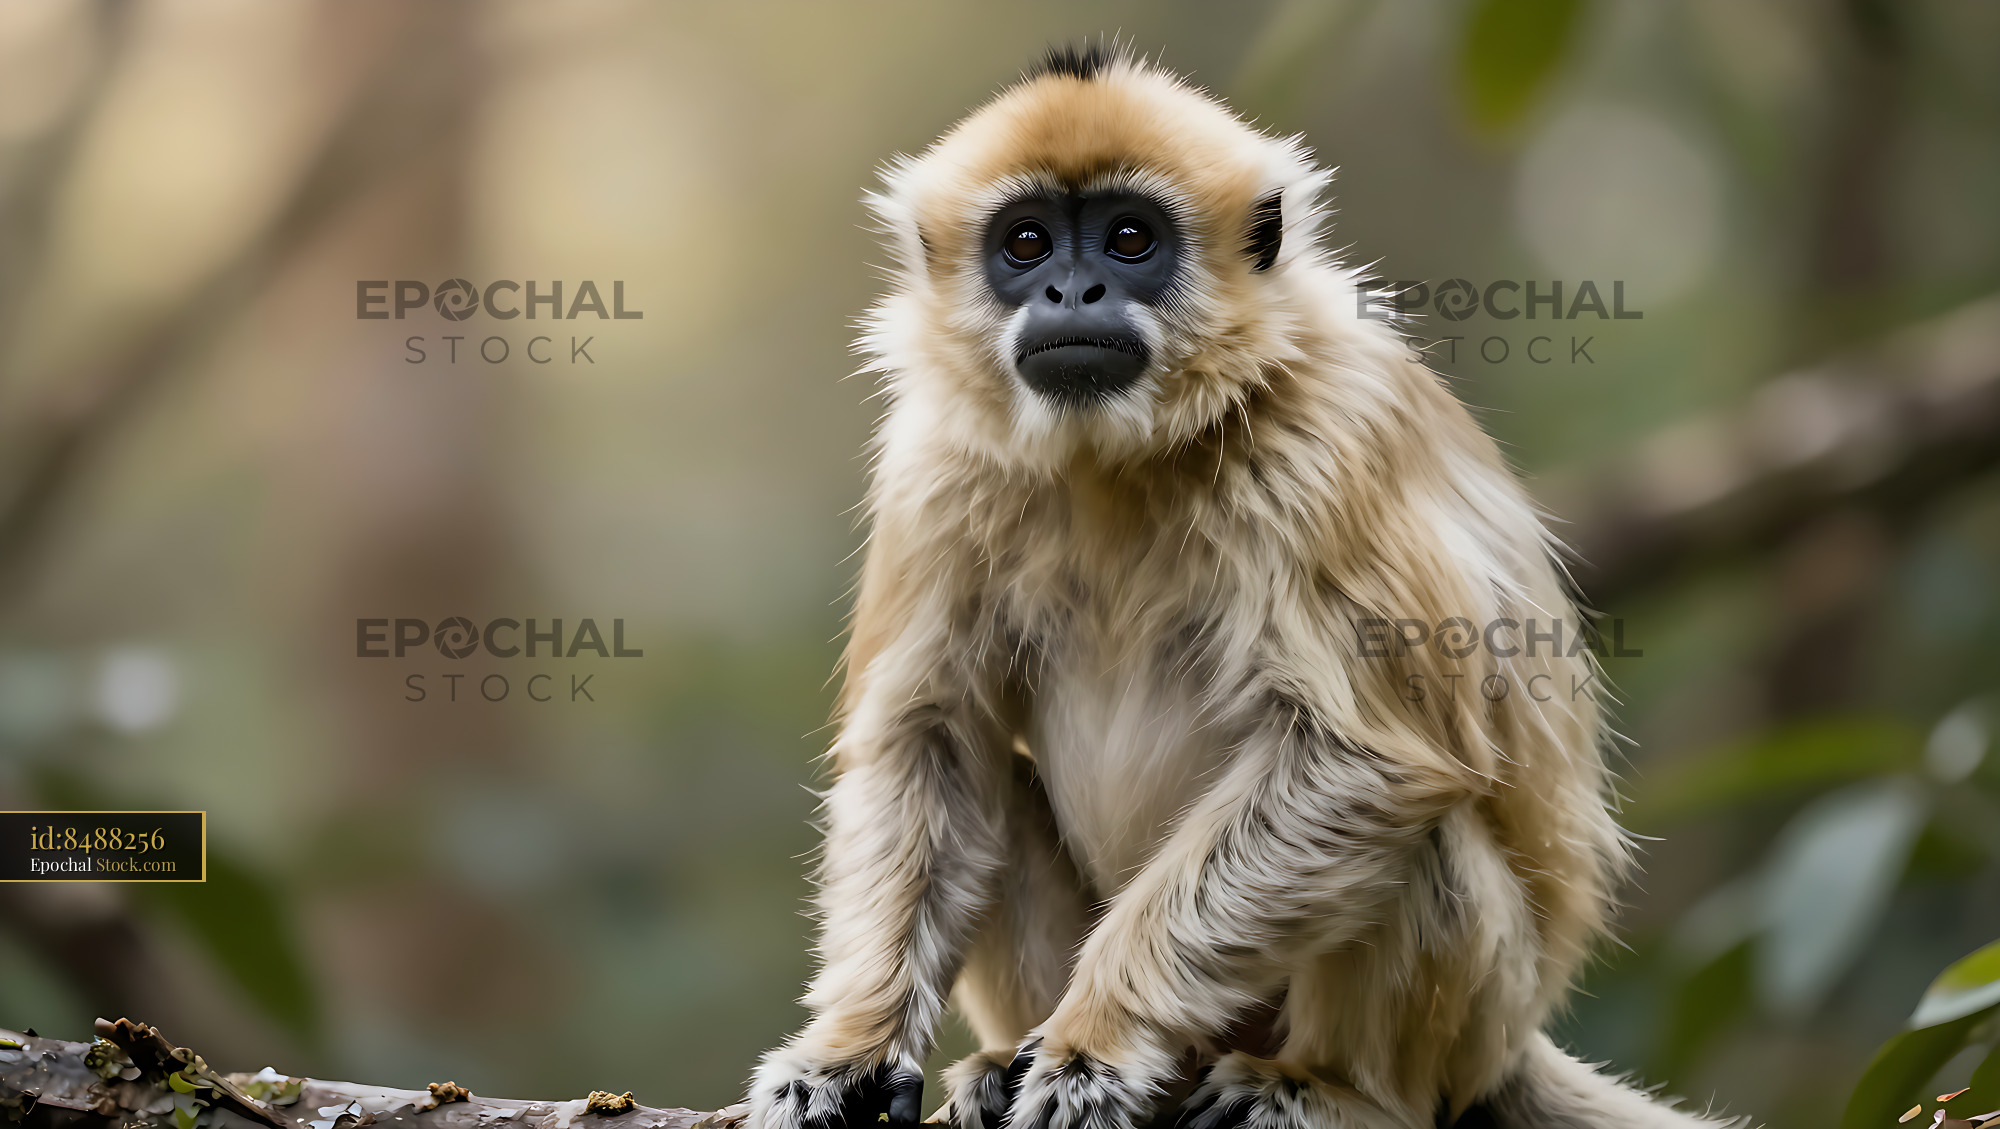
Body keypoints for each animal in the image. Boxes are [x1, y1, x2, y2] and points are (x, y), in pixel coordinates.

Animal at [743, 43, 1736, 1129]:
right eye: (1027, 243)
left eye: (1130, 238)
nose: (1072, 291)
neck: (1118, 463)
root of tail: (1505, 1049)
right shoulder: (934, 461)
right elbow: (931, 739)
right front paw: (848, 1049)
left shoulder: (1325, 428)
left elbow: (1366, 759)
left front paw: (1094, 1045)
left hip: (1472, 1011)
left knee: (1423, 830)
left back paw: (1335, 1091)